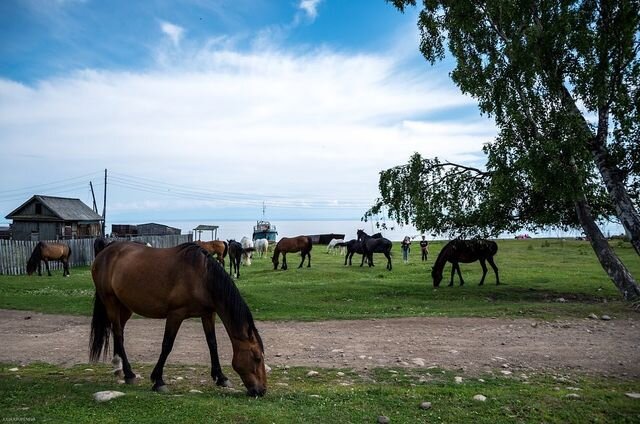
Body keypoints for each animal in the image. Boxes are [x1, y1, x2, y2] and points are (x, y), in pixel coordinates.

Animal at [90, 243, 268, 396]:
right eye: (257, 358)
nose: (262, 390)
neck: (202, 276)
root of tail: (105, 252)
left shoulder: (208, 314)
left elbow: (212, 344)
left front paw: (221, 378)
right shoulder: (176, 315)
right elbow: (167, 345)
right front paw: (158, 381)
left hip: (125, 307)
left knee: (117, 331)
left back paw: (118, 367)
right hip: (111, 302)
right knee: (118, 334)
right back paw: (128, 373)